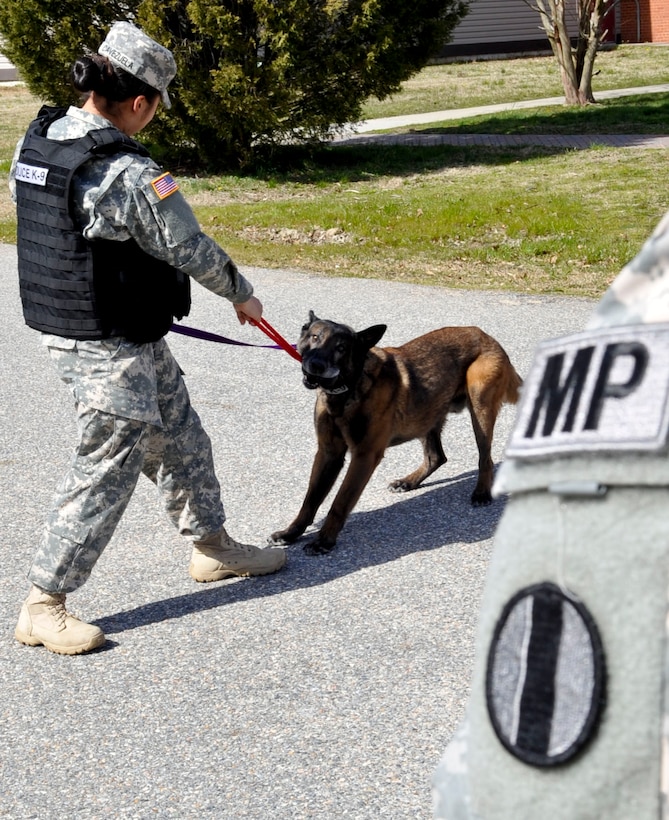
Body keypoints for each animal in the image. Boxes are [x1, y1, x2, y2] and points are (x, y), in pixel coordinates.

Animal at [268, 310, 520, 556]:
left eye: (341, 348)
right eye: (315, 337)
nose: (317, 364)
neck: (348, 391)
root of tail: (486, 336)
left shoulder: (364, 457)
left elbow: (339, 503)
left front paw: (324, 541)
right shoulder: (328, 454)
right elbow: (310, 500)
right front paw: (291, 533)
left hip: (479, 409)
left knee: (485, 459)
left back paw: (482, 492)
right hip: (426, 416)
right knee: (436, 457)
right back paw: (409, 482)